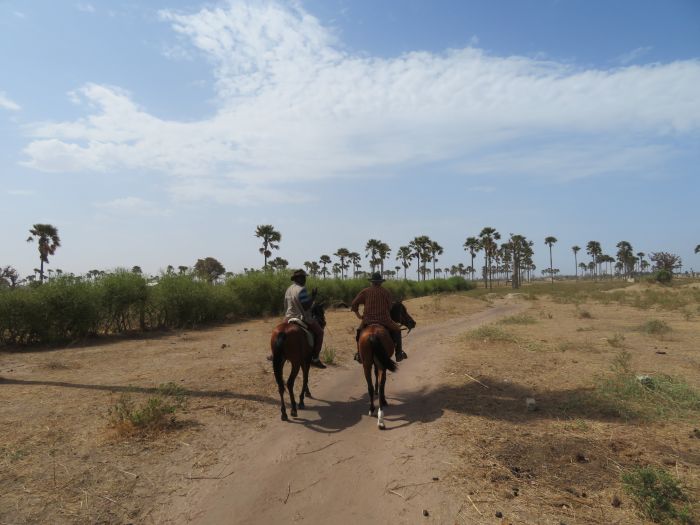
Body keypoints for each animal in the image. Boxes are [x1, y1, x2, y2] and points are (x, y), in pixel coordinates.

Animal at [360, 300, 416, 428]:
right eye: (403, 311)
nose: (413, 322)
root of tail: (372, 335)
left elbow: (375, 375)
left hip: (366, 364)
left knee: (369, 387)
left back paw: (372, 409)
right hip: (382, 365)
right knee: (382, 385)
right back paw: (381, 416)